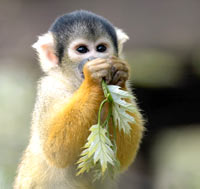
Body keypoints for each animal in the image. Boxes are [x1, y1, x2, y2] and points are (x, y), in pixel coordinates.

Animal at [14, 10, 144, 189]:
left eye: (101, 48)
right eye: (82, 49)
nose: (94, 57)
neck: (76, 85)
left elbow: (121, 157)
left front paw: (120, 75)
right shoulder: (50, 89)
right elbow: (55, 149)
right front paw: (92, 79)